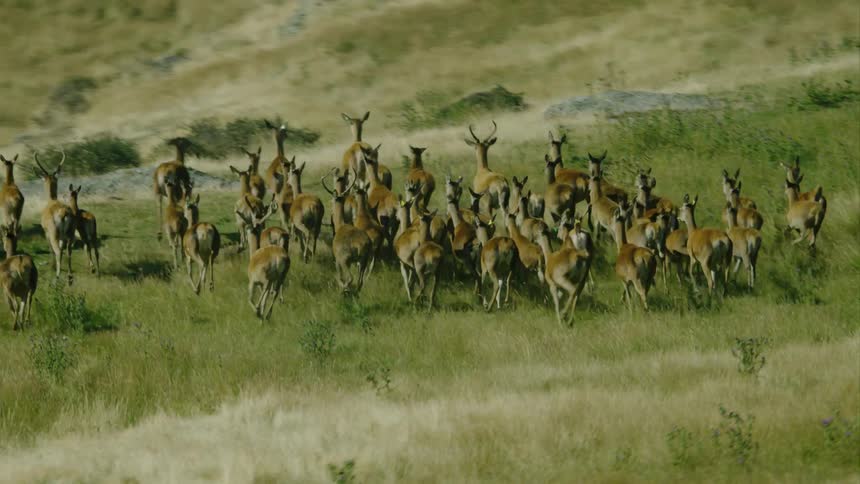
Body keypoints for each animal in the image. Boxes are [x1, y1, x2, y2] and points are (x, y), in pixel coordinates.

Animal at [33, 151, 75, 283]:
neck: (51, 201)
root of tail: (64, 213)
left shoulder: (46, 232)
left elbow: (51, 249)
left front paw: (51, 267)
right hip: (70, 233)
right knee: (68, 250)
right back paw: (69, 274)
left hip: (54, 233)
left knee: (57, 251)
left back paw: (57, 276)